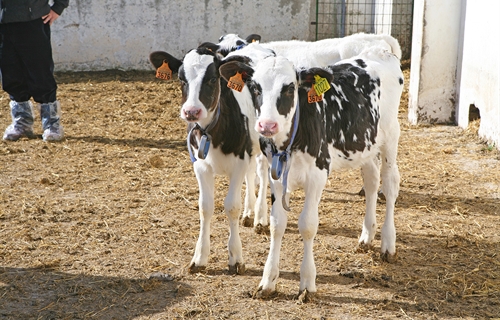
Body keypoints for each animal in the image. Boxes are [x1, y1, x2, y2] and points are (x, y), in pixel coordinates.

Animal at [149, 44, 270, 276]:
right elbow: (205, 207)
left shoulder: (239, 161)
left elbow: (231, 206)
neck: (212, 132)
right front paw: (199, 257)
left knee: (262, 172)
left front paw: (236, 258)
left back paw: (260, 217)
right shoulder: (200, 165)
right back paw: (250, 213)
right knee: (251, 174)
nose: (191, 111)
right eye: (181, 79)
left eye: (213, 79)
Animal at [221, 45, 404, 300]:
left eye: (290, 88)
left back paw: (388, 244)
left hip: (390, 138)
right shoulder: (276, 177)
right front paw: (268, 280)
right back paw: (367, 236)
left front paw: (307, 283)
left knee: (389, 184)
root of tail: (379, 50)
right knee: (371, 182)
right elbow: (277, 225)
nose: (267, 125)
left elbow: (307, 225)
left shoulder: (318, 174)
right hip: (365, 145)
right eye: (256, 88)